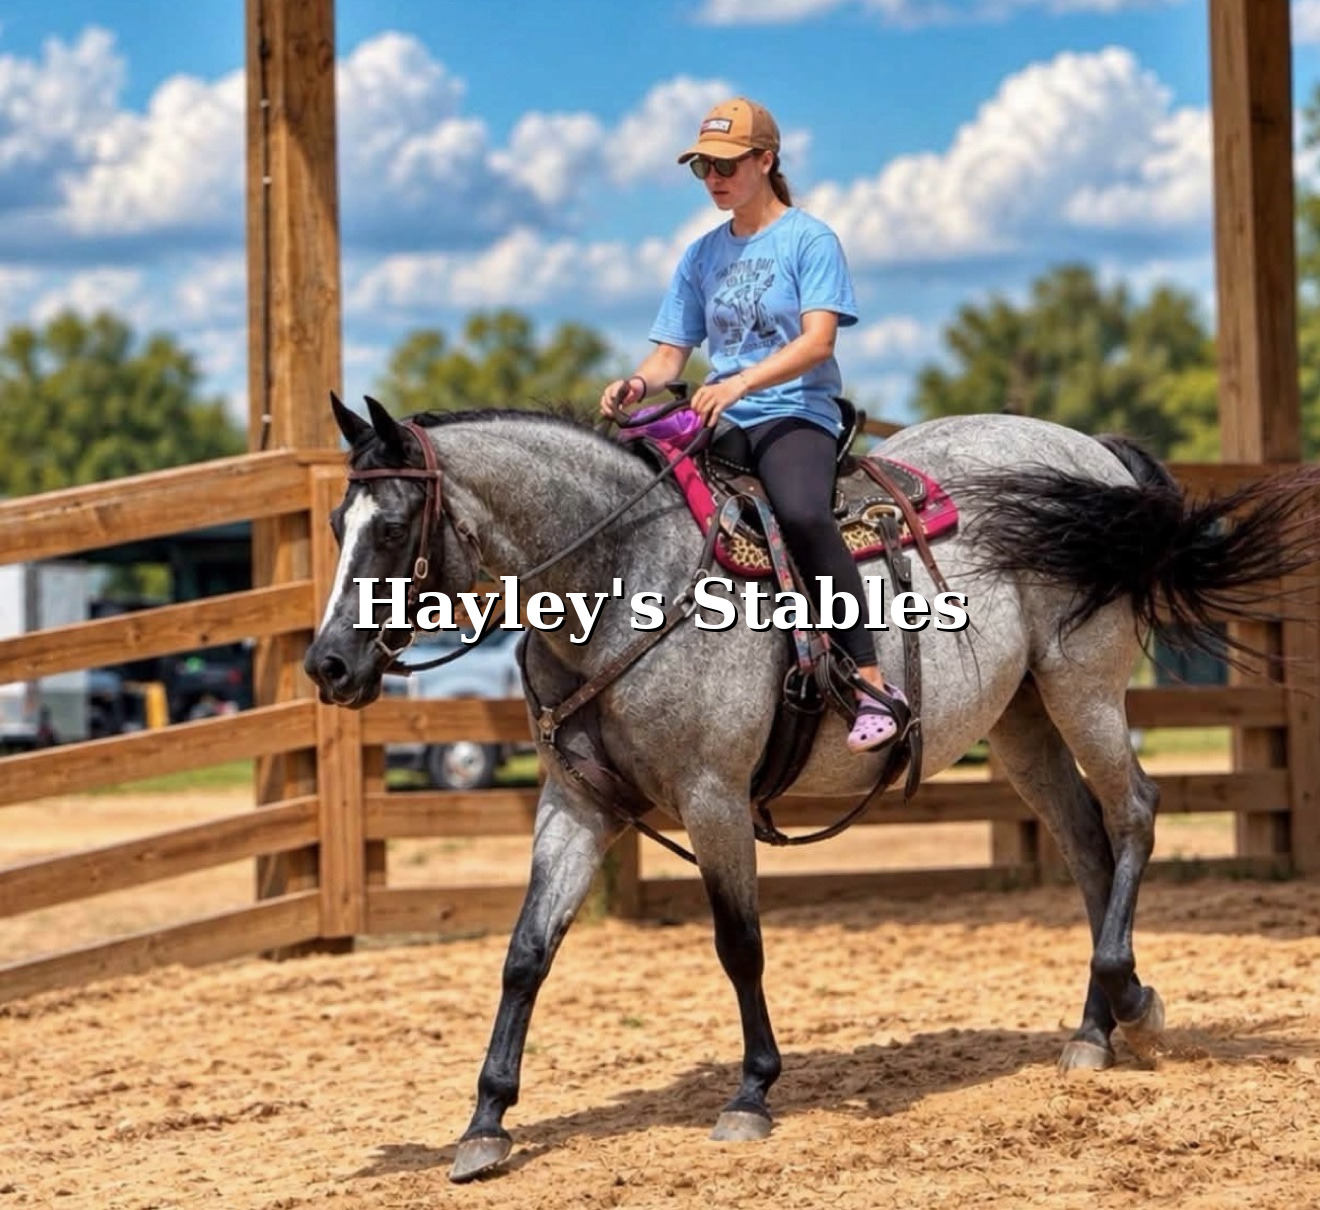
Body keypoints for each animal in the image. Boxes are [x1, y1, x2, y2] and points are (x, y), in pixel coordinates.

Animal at [305, 394, 1314, 1182]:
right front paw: (486, 1123)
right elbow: (526, 954)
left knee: (1134, 813)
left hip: (1084, 689)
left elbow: (739, 945)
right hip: (1023, 721)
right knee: (1087, 848)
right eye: (334, 525)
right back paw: (1098, 1030)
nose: (328, 664)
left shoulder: (713, 799)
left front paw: (752, 1092)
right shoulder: (577, 804)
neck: (627, 581)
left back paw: (1132, 1008)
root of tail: (1096, 456)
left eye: (390, 527)